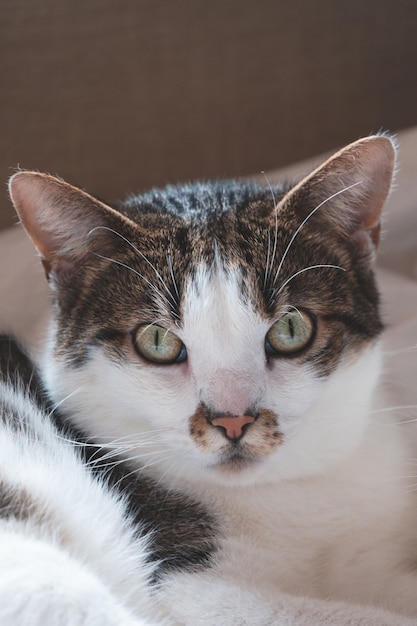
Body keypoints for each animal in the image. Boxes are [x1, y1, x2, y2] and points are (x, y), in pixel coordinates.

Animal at [2, 134, 416, 620]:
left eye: (291, 330)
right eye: (157, 341)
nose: (233, 419)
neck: (290, 488)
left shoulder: (369, 560)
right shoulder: (188, 583)